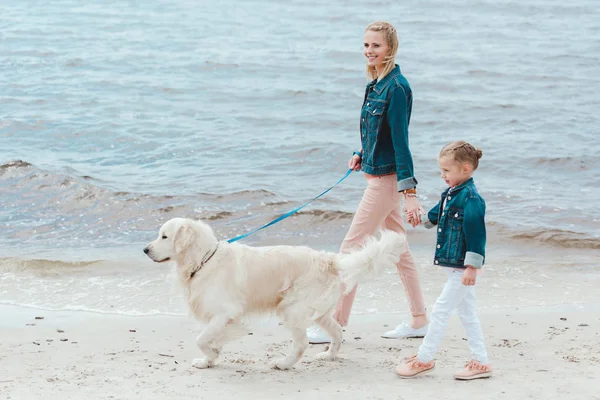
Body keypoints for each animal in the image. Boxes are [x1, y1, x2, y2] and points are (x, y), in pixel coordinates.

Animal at [143, 217, 406, 370]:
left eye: (164, 236)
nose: (145, 250)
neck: (203, 259)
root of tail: (329, 260)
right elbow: (210, 339)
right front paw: (209, 360)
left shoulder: (224, 313)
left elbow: (201, 338)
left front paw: (211, 354)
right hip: (320, 313)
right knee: (337, 332)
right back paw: (329, 356)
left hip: (291, 308)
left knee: (302, 343)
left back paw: (283, 363)